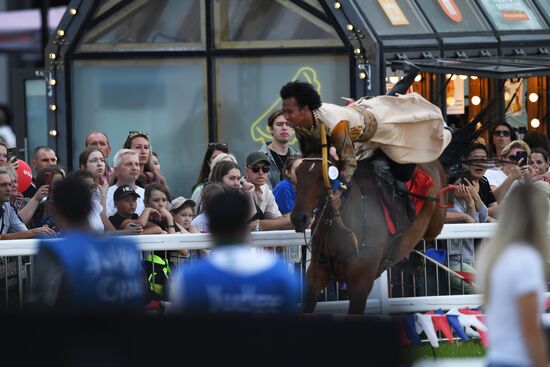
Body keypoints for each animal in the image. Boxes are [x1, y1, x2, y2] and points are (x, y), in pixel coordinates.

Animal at [292, 146, 450, 314]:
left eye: (321, 177)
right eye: (298, 173)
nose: (298, 218)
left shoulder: (361, 284)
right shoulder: (316, 276)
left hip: (436, 222)